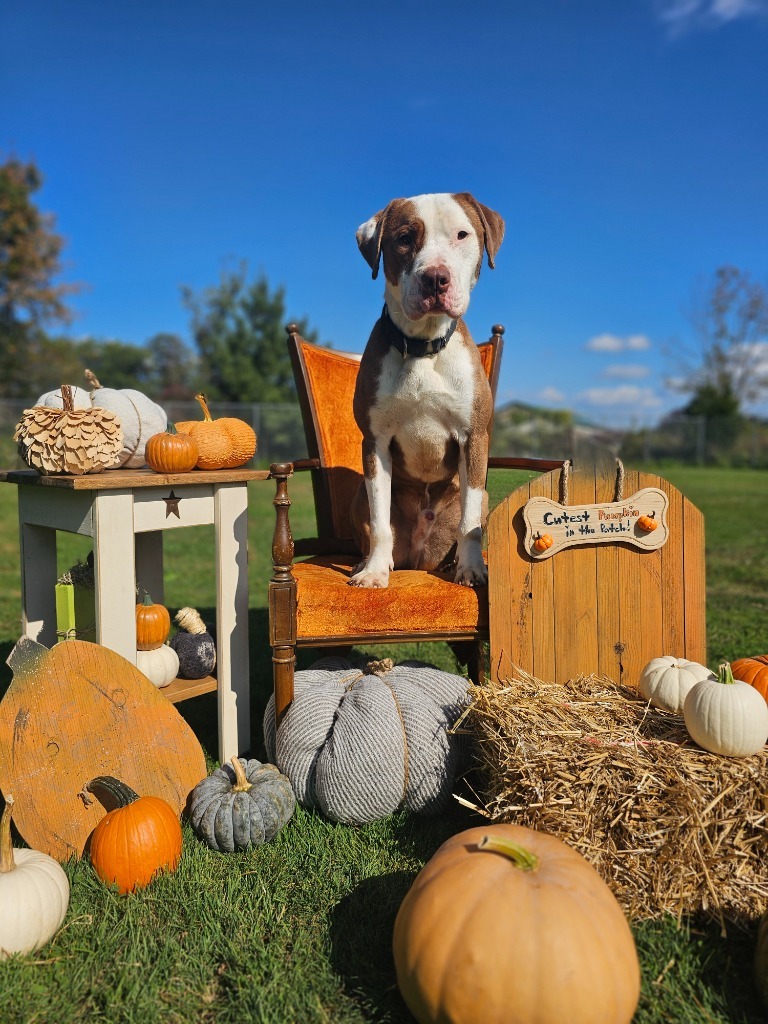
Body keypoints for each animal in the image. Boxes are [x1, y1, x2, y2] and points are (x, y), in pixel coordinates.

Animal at [348, 193, 505, 593]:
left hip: (482, 496)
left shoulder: (473, 438)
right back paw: (369, 562)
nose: (436, 277)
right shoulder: (375, 442)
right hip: (360, 494)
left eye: (462, 234)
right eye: (404, 238)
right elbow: (379, 520)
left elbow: (470, 524)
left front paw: (471, 571)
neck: (423, 346)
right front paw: (374, 571)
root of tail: (419, 559)